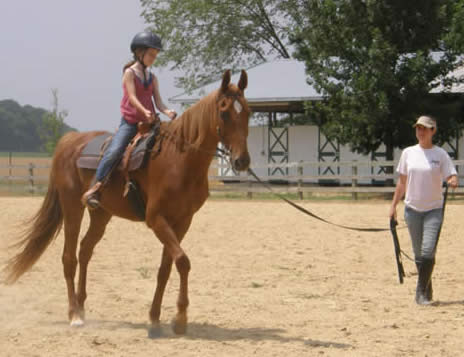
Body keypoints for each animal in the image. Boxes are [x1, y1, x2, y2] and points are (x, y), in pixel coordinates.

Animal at [2, 69, 250, 334]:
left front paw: (155, 317)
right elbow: (182, 261)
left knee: (85, 250)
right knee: (69, 257)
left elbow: (166, 268)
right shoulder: (156, 219)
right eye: (224, 112)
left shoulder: (183, 221)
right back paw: (74, 315)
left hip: (101, 214)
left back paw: (81, 306)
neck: (178, 160)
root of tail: (70, 140)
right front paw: (181, 319)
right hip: (72, 207)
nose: (242, 161)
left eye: (248, 111)